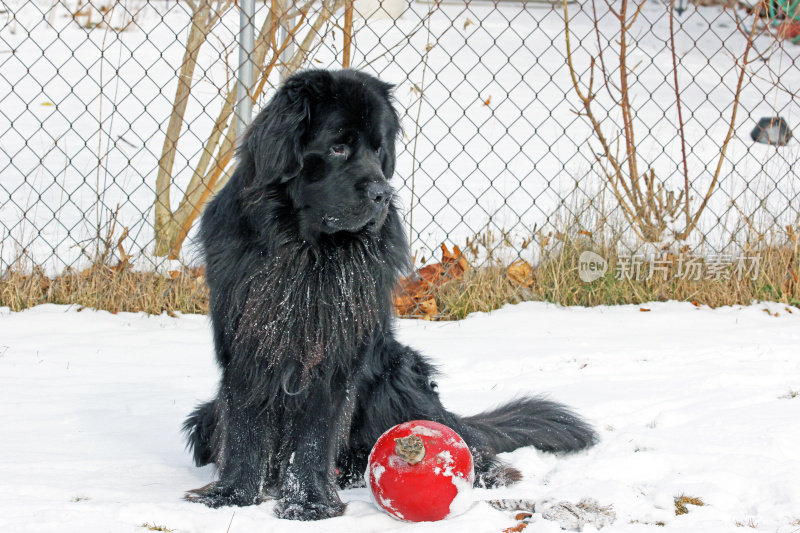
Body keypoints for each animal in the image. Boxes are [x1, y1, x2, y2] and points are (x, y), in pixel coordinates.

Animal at [181, 67, 592, 520]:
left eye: (379, 150)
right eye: (338, 147)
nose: (382, 194)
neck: (306, 254)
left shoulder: (334, 356)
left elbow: (314, 435)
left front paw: (309, 504)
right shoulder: (248, 346)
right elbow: (245, 428)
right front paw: (231, 496)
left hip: (398, 378)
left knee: (465, 441)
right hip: (205, 418)